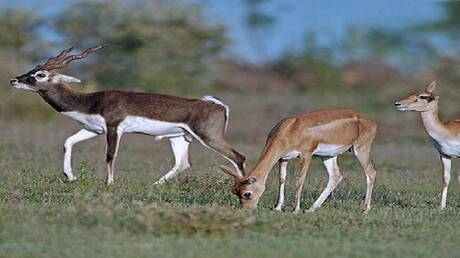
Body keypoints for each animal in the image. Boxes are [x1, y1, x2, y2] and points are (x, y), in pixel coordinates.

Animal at [9, 44, 246, 185]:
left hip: (209, 137)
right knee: (182, 163)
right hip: (179, 138)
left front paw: (109, 184)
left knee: (238, 157)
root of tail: (217, 105)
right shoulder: (93, 129)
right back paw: (154, 185)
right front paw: (71, 176)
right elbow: (68, 142)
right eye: (32, 70)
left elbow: (110, 155)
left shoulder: (114, 128)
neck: (91, 101)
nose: (14, 80)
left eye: (40, 74)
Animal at [394, 81, 458, 210]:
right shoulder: (445, 155)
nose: (398, 103)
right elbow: (446, 179)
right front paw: (441, 207)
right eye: (412, 94)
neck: (448, 131)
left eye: (423, 96)